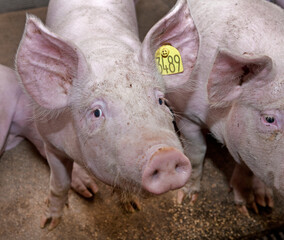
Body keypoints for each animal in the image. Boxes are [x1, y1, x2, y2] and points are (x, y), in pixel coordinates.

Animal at [14, 0, 192, 230]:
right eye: (96, 112)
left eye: (161, 100)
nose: (165, 155)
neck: (105, 51)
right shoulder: (50, 141)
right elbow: (59, 183)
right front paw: (48, 225)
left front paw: (132, 207)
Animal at [142, 0, 284, 215]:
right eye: (269, 119)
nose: (184, 200)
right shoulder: (187, 113)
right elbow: (197, 152)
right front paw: (185, 200)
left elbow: (247, 168)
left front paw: (246, 208)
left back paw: (265, 203)